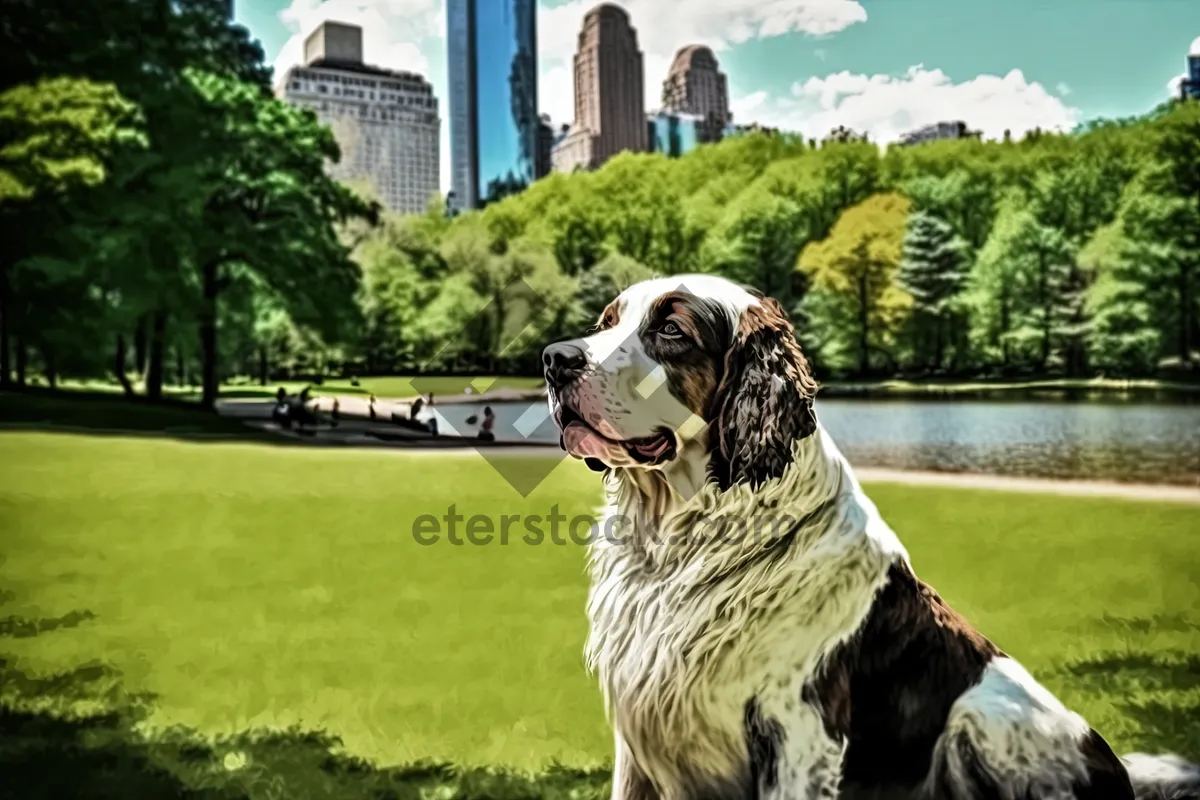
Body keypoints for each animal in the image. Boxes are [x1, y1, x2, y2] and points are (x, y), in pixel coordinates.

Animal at [544, 272, 1200, 796]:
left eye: (671, 329)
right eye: (607, 323)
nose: (554, 358)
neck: (680, 539)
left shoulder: (801, 733)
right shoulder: (638, 744)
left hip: (979, 715)